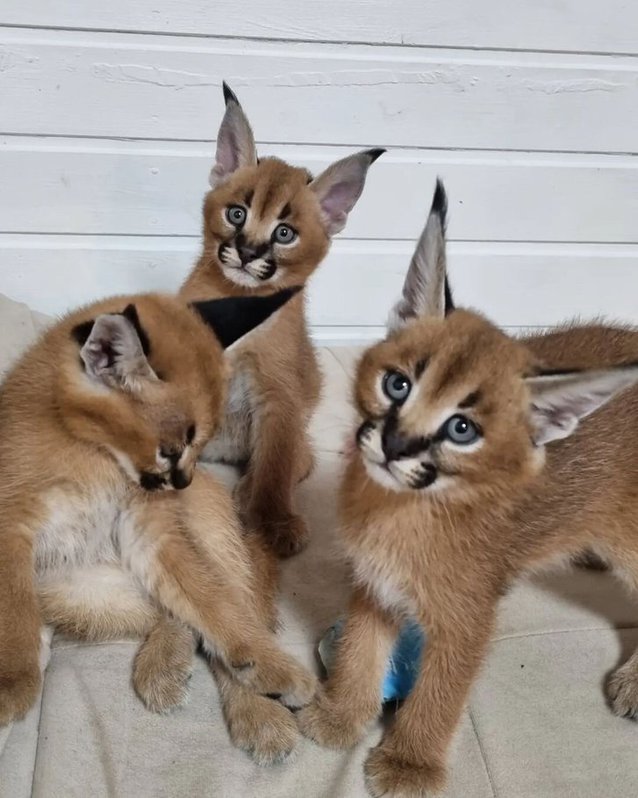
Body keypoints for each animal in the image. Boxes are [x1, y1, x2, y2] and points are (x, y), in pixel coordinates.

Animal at [0, 288, 318, 764]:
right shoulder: (12, 523)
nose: (183, 482)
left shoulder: (150, 529)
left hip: (207, 535)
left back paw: (259, 712)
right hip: (73, 590)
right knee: (170, 614)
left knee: (228, 602)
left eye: (201, 444)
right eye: (170, 449)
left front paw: (270, 670)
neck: (95, 453)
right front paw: (12, 684)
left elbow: (212, 603)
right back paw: (168, 667)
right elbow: (12, 607)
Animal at [178, 81, 382, 556]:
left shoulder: (279, 392)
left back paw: (248, 490)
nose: (248, 251)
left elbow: (275, 463)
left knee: (292, 461)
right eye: (237, 213)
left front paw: (272, 520)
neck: (237, 296)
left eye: (284, 234)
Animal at [302, 183, 638, 798]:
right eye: (397, 384)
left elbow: (440, 690)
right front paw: (340, 716)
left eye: (462, 430)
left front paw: (409, 764)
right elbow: (361, 648)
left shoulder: (467, 616)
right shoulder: (376, 580)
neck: (402, 508)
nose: (395, 444)